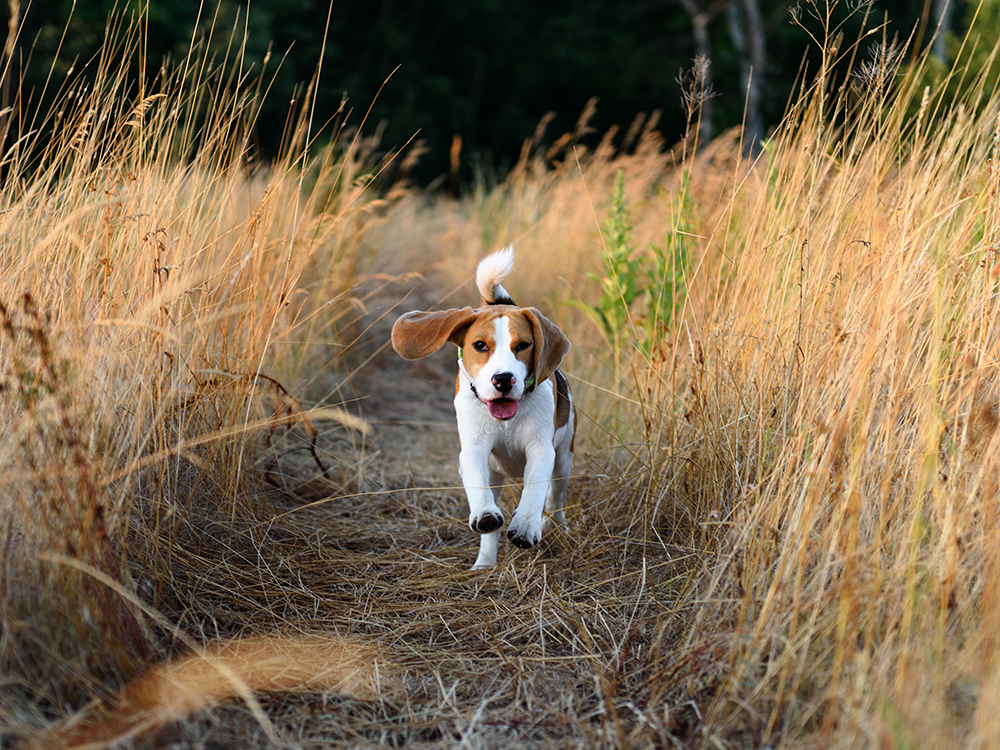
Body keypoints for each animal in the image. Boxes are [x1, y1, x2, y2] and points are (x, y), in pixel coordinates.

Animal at [392, 248, 576, 568]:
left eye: (523, 345)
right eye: (479, 345)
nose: (503, 379)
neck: (507, 419)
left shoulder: (542, 449)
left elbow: (535, 488)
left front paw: (526, 524)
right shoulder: (474, 450)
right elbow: (478, 487)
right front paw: (487, 515)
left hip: (564, 459)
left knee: (555, 497)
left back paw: (554, 525)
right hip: (496, 471)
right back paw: (485, 562)